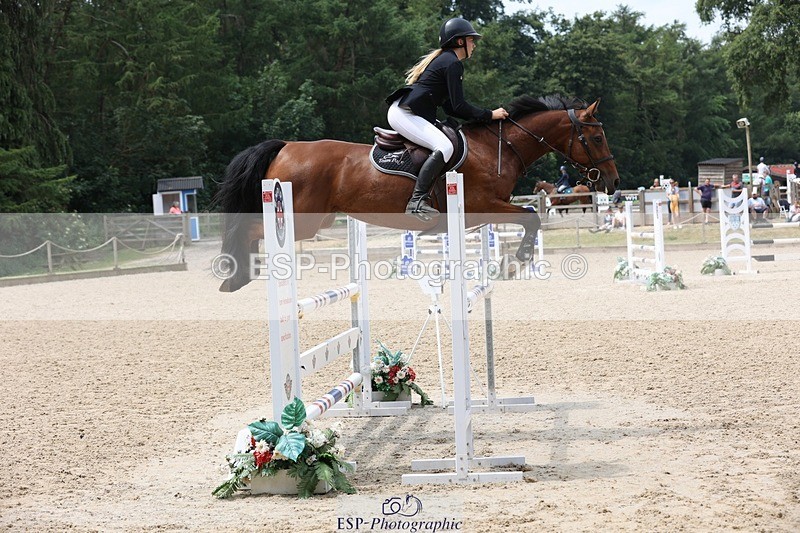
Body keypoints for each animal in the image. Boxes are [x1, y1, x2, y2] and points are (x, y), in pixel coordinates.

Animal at [216, 94, 619, 291]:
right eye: (598, 137)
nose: (612, 182)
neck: (497, 147)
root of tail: (285, 147)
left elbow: (528, 220)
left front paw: (509, 262)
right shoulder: (482, 205)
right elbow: (532, 218)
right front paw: (514, 262)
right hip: (301, 221)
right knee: (249, 230)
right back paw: (235, 277)